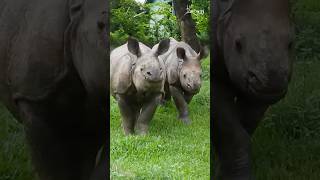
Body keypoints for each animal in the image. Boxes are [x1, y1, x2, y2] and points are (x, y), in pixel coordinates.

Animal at [211, 0, 294, 179]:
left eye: (290, 44)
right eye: (238, 44)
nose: (272, 83)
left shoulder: (258, 92)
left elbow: (244, 124)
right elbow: (230, 130)